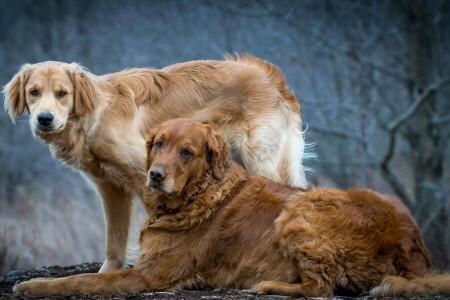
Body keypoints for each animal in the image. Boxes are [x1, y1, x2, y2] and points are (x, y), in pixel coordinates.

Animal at [2, 53, 306, 272]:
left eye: (62, 93)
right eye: (34, 92)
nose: (44, 119)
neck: (95, 115)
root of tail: (270, 76)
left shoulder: (147, 177)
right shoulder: (111, 189)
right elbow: (114, 241)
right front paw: (107, 273)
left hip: (261, 159)